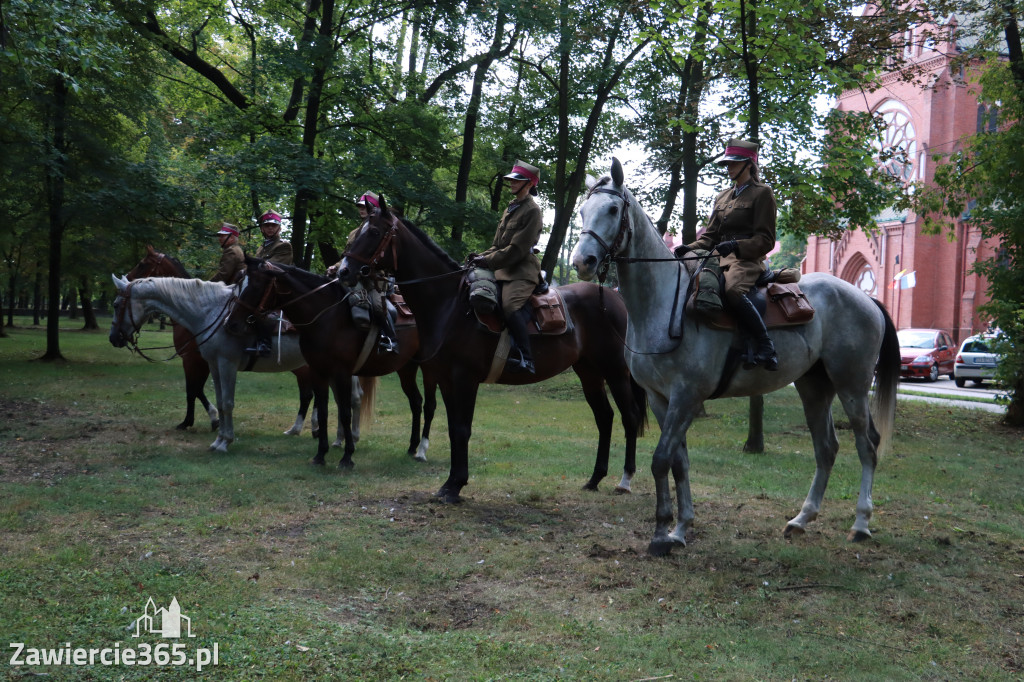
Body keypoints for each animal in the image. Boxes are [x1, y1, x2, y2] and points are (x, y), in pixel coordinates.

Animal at [224, 256, 436, 466]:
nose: (231, 324)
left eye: (255, 286)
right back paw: (411, 447)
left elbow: (344, 411)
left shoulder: (342, 373)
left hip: (429, 367)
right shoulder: (318, 371)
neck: (326, 317)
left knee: (429, 405)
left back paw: (422, 451)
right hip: (406, 367)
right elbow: (324, 411)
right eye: (239, 284)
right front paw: (320, 454)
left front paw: (347, 457)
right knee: (416, 402)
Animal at [339, 199, 651, 501]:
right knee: (605, 418)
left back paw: (625, 480)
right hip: (589, 372)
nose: (343, 271)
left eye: (373, 232)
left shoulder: (465, 379)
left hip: (615, 372)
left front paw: (456, 486)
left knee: (629, 416)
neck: (450, 304)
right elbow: (453, 428)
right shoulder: (446, 380)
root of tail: (614, 298)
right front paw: (449, 485)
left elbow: (462, 429)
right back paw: (595, 479)